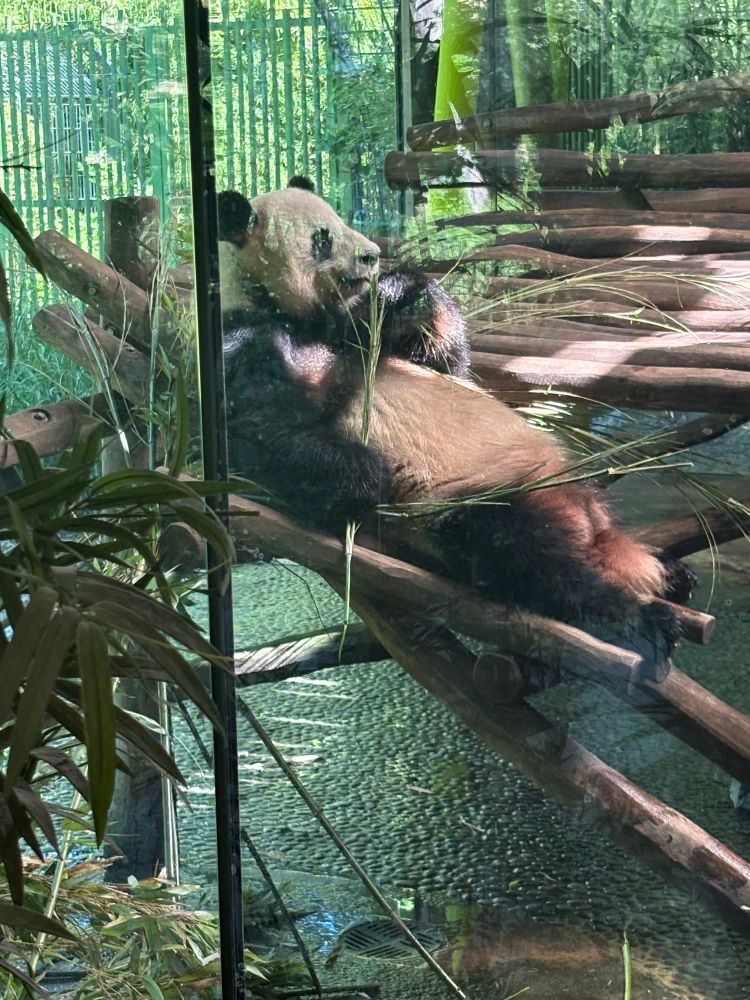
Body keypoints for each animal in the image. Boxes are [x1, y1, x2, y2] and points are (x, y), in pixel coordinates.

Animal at [218, 177, 691, 656]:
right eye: (323, 238)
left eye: (341, 221)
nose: (371, 255)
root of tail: (583, 517)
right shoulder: (245, 340)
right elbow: (262, 431)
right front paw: (366, 473)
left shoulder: (365, 332)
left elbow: (453, 368)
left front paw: (404, 292)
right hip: (480, 503)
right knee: (530, 561)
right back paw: (639, 616)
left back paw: (672, 577)